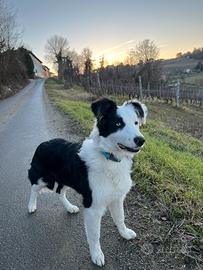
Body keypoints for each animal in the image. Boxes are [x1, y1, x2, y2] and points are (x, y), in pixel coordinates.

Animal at [27, 97, 147, 266]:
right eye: (118, 124)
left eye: (136, 123)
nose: (140, 140)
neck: (109, 157)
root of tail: (43, 143)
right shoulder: (93, 206)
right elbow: (95, 234)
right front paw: (96, 255)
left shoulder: (117, 197)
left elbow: (120, 218)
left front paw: (124, 233)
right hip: (42, 178)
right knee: (33, 188)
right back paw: (31, 205)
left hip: (66, 179)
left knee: (59, 192)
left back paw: (69, 207)